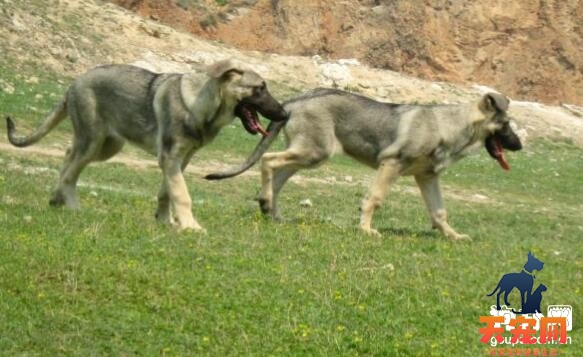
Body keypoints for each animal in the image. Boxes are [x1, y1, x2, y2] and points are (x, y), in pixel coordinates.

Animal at [4, 59, 288, 232]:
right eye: (259, 88)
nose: (285, 115)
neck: (200, 104)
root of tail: (74, 83)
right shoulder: (170, 158)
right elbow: (182, 194)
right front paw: (190, 226)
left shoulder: (180, 160)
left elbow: (167, 192)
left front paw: (165, 221)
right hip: (93, 141)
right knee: (70, 172)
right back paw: (72, 206)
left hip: (107, 146)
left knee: (67, 155)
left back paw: (57, 199)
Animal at [208, 88, 524, 241]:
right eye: (506, 124)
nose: (520, 146)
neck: (450, 125)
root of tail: (295, 101)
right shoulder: (391, 165)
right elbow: (374, 199)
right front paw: (366, 229)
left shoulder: (427, 177)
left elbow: (439, 212)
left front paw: (452, 236)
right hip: (314, 152)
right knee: (267, 160)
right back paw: (266, 203)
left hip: (306, 155)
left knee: (277, 175)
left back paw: (270, 210)